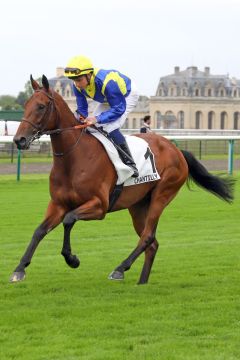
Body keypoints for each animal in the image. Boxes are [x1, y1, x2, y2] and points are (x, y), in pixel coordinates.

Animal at [10, 75, 233, 284]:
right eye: (26, 105)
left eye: (41, 106)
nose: (19, 140)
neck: (74, 159)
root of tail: (176, 149)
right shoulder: (58, 204)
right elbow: (39, 231)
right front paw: (19, 269)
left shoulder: (99, 206)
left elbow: (69, 219)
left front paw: (72, 259)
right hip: (138, 205)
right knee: (152, 243)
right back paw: (141, 282)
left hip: (162, 195)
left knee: (147, 237)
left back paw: (120, 268)